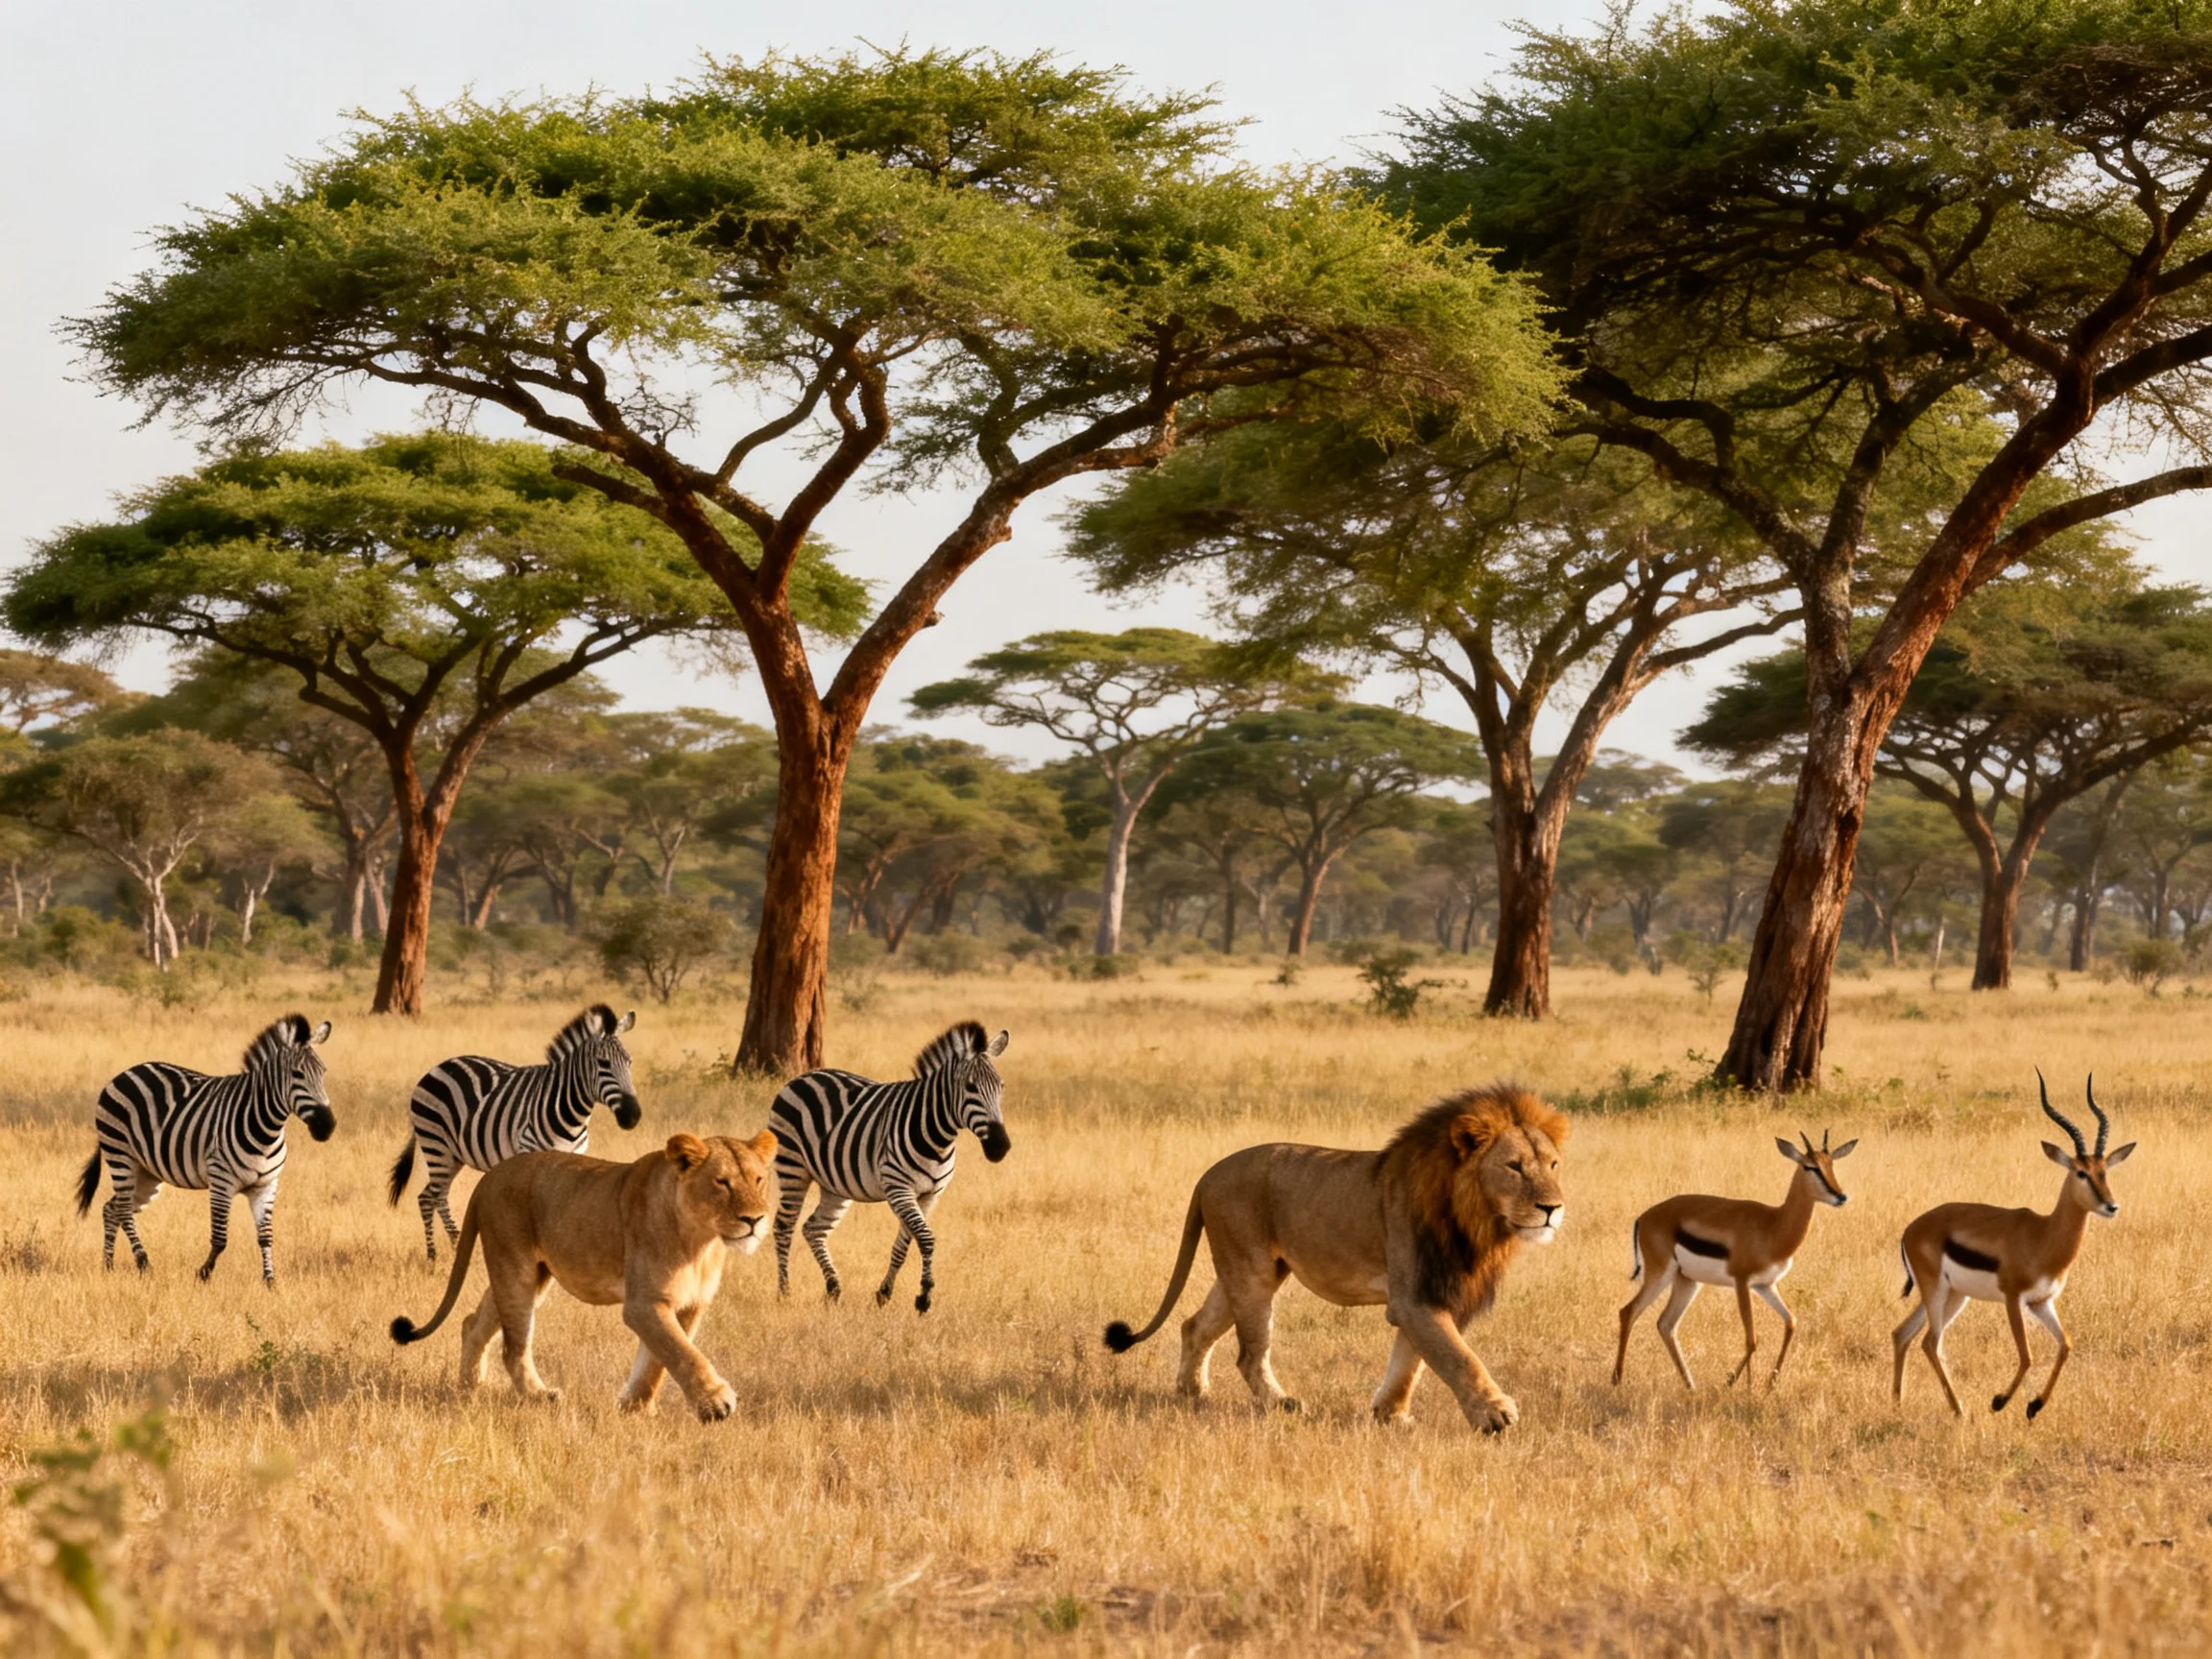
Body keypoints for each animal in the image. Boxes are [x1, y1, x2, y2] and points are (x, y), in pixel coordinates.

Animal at [73, 1013, 336, 1285]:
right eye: (297, 1074)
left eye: (323, 1072)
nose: (327, 1126)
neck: (266, 1129)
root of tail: (126, 1072)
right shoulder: (221, 1181)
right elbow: (220, 1239)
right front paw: (204, 1273)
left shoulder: (266, 1186)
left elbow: (265, 1237)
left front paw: (269, 1281)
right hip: (120, 1155)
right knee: (124, 1211)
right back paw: (143, 1263)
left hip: (145, 1172)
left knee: (111, 1209)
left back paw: (108, 1266)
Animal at [387, 1004, 641, 1262]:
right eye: (603, 1063)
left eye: (630, 1062)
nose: (632, 1115)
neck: (570, 1115)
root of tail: (437, 1068)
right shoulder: (530, 1153)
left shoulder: (573, 1159)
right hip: (436, 1144)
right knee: (427, 1198)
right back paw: (433, 1256)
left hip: (452, 1155)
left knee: (439, 1196)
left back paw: (457, 1248)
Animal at [390, 1130, 776, 1420]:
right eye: (722, 1183)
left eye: (759, 1180)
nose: (755, 1220)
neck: (701, 1241)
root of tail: (489, 1177)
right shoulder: (643, 1302)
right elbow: (681, 1352)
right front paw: (716, 1405)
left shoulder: (689, 1304)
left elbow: (657, 1360)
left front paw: (635, 1407)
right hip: (515, 1269)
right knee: (513, 1347)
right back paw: (538, 1396)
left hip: (527, 1274)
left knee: (473, 1322)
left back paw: (469, 1389)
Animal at [770, 1020, 1011, 1314]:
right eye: (970, 1087)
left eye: (1000, 1086)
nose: (1000, 1146)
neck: (937, 1137)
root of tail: (802, 1076)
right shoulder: (899, 1189)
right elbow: (926, 1238)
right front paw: (924, 1296)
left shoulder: (929, 1195)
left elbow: (904, 1244)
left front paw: (884, 1293)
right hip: (792, 1168)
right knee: (784, 1227)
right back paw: (784, 1293)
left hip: (834, 1185)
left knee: (813, 1228)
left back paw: (833, 1287)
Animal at [1102, 1085, 1568, 1432]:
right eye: (1513, 1166)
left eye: (1553, 1164)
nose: (1553, 1208)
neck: (1476, 1220)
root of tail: (1207, 1175)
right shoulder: (1414, 1296)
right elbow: (1455, 1355)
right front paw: (1494, 1414)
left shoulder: (1434, 1292)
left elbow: (1411, 1360)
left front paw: (1390, 1415)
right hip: (1252, 1274)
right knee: (1248, 1353)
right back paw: (1281, 1403)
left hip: (1246, 1271)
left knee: (1195, 1326)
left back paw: (1192, 1393)